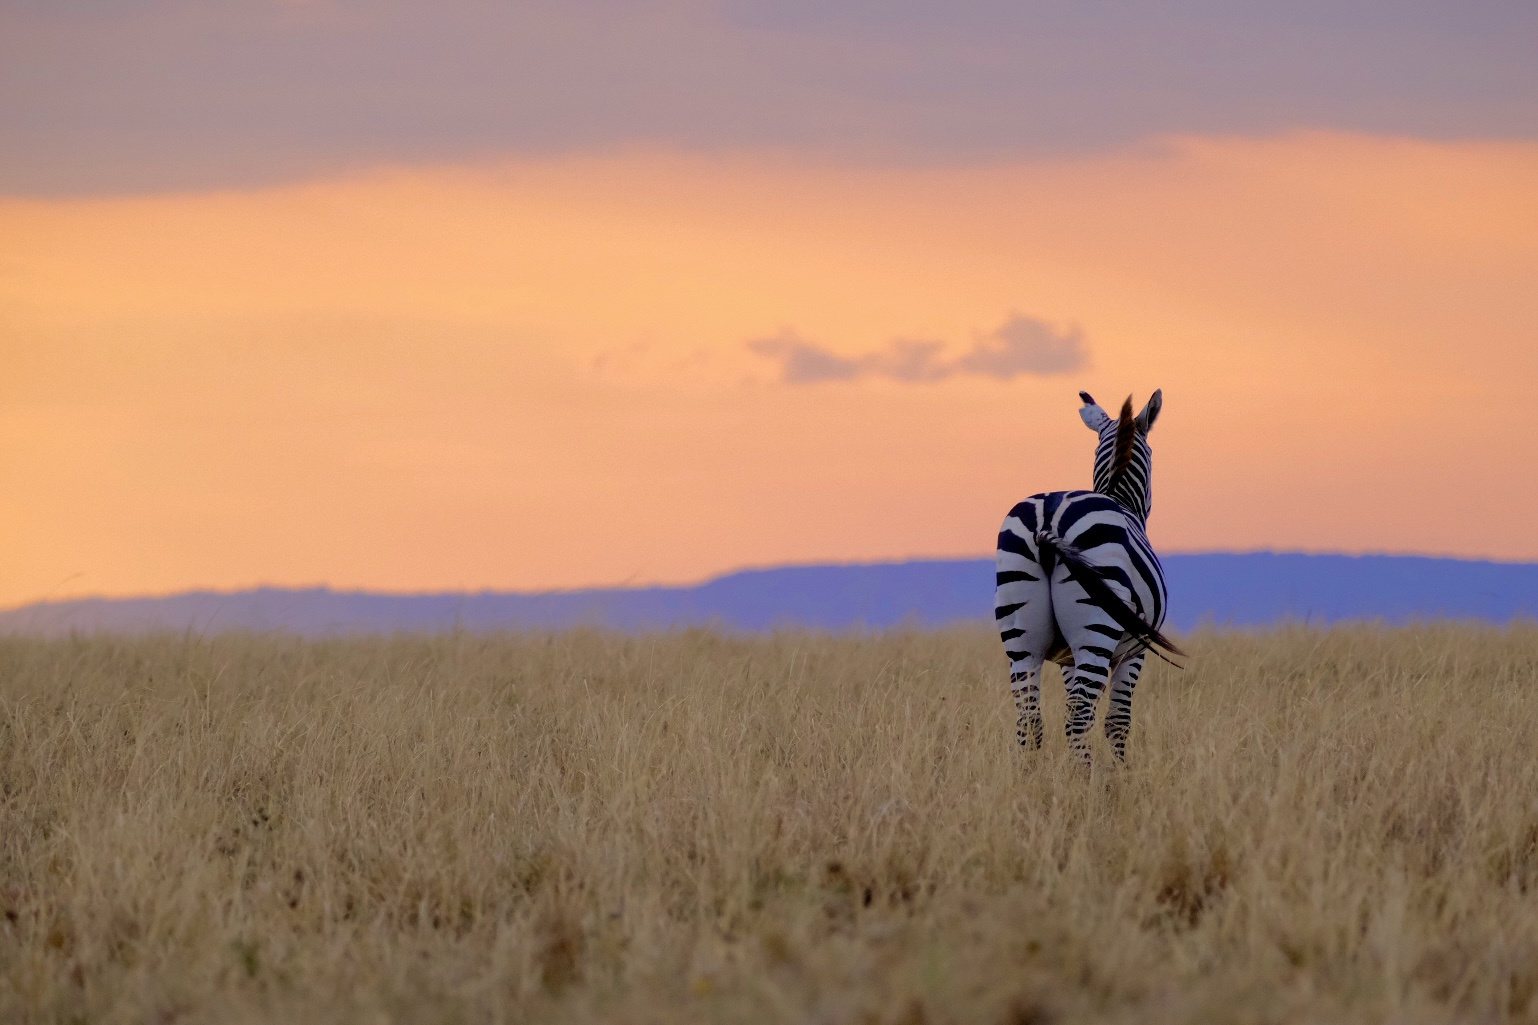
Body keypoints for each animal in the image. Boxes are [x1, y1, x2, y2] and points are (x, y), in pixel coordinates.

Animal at [994, 389, 1183, 765]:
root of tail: (1048, 520)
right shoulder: (1134, 649)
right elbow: (1118, 720)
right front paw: (1120, 772)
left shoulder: (1067, 657)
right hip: (1096, 627)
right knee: (1079, 719)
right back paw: (1087, 778)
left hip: (1020, 636)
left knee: (1029, 722)